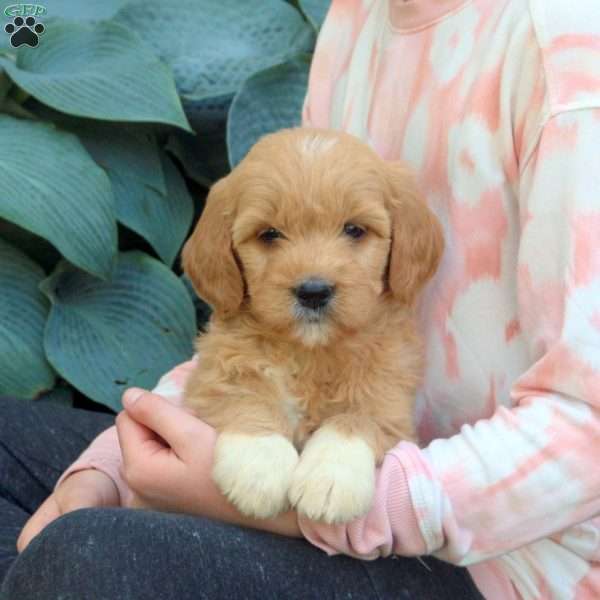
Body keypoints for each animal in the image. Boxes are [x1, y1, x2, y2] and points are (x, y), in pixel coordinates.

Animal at [180, 127, 442, 524]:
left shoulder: (391, 399)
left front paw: (332, 478)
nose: (314, 292)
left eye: (354, 230)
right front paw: (259, 466)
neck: (311, 352)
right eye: (269, 234)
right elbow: (246, 396)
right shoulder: (216, 373)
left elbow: (358, 418)